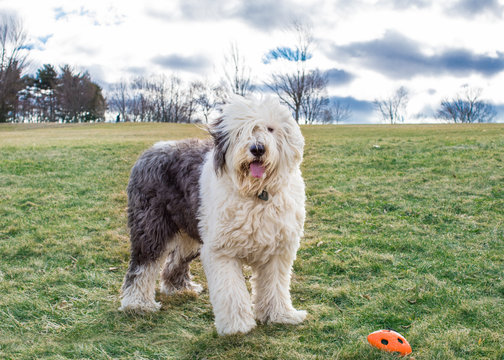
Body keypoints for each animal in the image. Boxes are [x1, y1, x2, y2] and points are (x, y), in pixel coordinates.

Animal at [119, 95, 306, 334]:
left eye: (270, 128)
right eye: (240, 132)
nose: (257, 149)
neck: (256, 194)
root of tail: (151, 150)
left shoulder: (277, 250)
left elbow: (275, 286)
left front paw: (280, 315)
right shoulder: (222, 251)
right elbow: (231, 291)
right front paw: (237, 326)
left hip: (191, 230)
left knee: (175, 260)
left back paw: (180, 288)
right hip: (151, 226)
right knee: (143, 265)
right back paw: (138, 304)